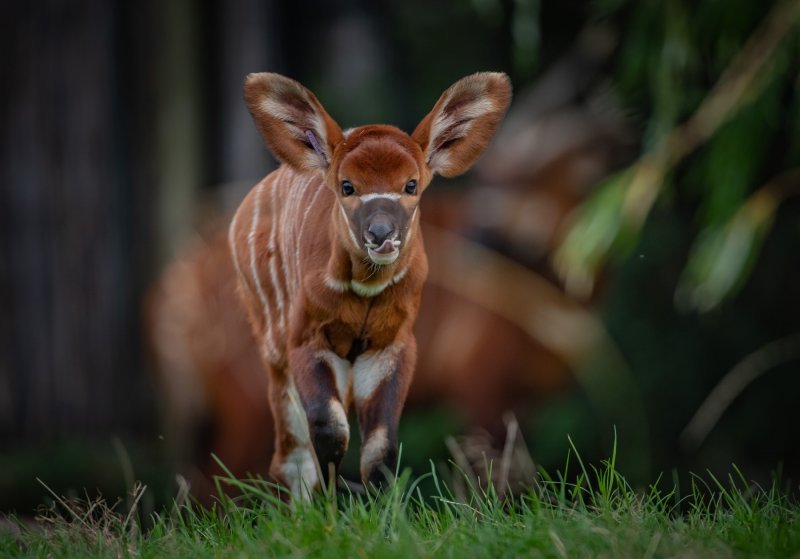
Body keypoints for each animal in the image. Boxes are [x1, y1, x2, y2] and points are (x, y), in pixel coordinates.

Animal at [225, 72, 512, 496]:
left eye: (411, 184)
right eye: (347, 186)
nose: (381, 234)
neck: (366, 292)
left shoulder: (392, 345)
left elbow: (380, 446)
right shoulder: (306, 339)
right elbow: (330, 430)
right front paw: (329, 508)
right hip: (272, 346)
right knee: (291, 454)